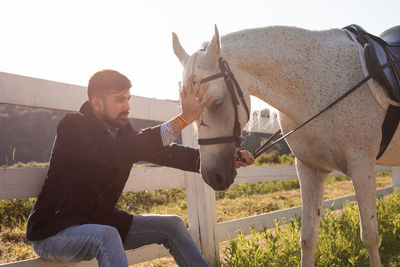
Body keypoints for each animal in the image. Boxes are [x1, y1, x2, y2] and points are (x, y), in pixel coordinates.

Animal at [173, 25, 400, 267]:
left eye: (217, 103)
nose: (212, 176)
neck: (315, 83)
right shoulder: (310, 169)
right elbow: (308, 238)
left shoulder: (362, 165)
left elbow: (370, 236)